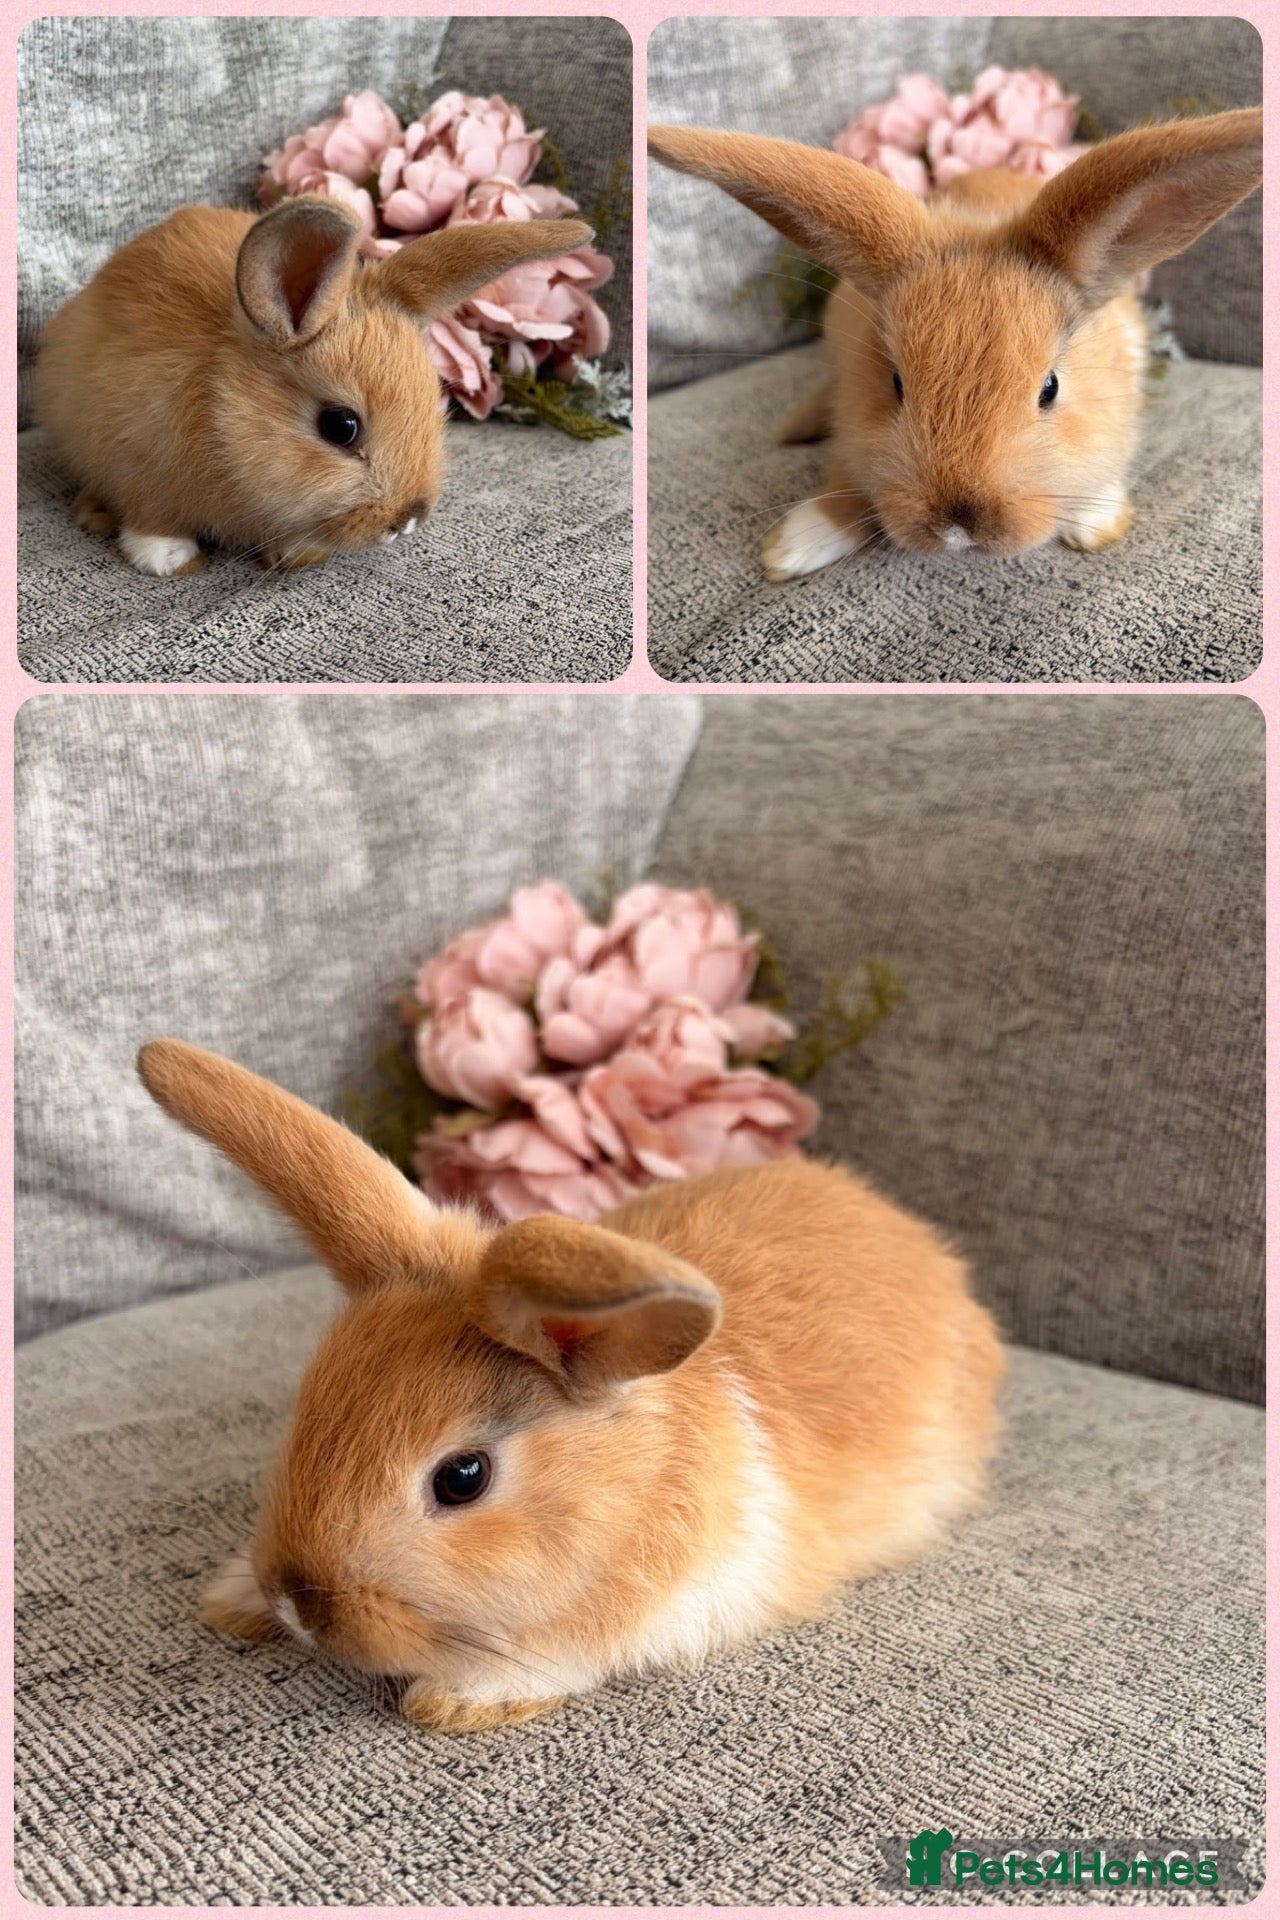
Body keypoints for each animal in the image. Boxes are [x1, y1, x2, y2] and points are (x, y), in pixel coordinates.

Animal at [34, 197, 591, 576]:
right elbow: (153, 519)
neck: (222, 419)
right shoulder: (138, 462)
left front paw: (299, 554)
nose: (408, 520)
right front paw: (168, 560)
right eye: (340, 427)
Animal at [138, 1036, 1003, 1734]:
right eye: (307, 1411)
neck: (635, 1477)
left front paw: (458, 1698)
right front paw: (235, 1599)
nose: (298, 1603)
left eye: (462, 1478)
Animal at [648, 109, 1262, 579]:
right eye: (895, 384)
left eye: (1050, 388)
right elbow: (846, 483)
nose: (958, 524)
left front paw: (1098, 523)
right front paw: (791, 547)